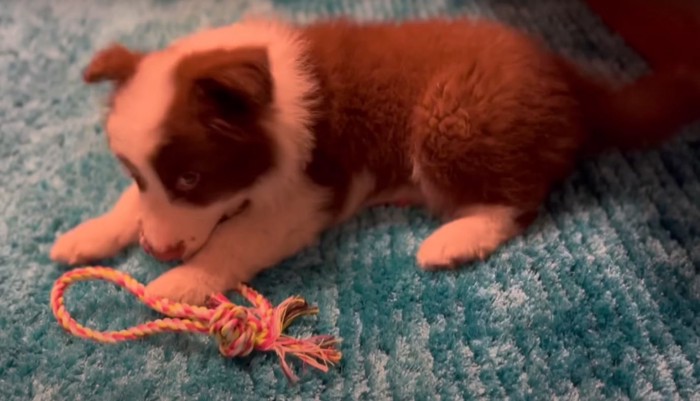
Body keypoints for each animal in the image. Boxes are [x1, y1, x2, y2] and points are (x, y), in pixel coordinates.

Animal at [52, 16, 700, 304]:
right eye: (139, 175)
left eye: (192, 178)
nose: (157, 251)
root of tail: (568, 76)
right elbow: (129, 205)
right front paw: (88, 233)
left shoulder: (308, 196)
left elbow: (234, 241)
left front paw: (178, 282)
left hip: (451, 116)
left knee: (521, 199)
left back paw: (455, 239)